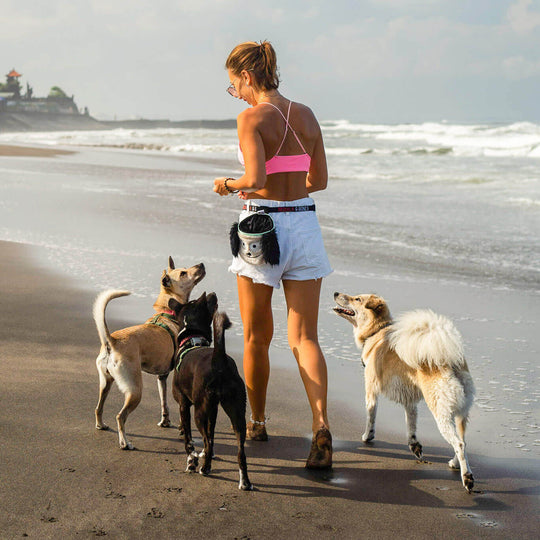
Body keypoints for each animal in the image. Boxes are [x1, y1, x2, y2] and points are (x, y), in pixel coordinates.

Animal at [93, 255, 205, 450]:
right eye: (183, 273)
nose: (202, 264)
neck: (167, 311)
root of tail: (111, 341)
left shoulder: (162, 377)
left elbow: (164, 402)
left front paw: (165, 422)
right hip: (135, 390)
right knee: (120, 416)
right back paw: (125, 443)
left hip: (106, 383)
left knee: (98, 408)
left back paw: (101, 425)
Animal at [169, 294, 253, 492]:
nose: (213, 293)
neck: (192, 340)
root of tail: (219, 361)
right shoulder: (213, 411)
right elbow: (212, 435)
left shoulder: (184, 405)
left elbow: (189, 440)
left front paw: (191, 462)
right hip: (237, 412)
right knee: (240, 452)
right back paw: (244, 482)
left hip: (199, 412)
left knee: (206, 442)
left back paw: (205, 468)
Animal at [334, 294, 476, 492]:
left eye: (357, 299)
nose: (335, 293)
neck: (377, 332)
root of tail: (449, 362)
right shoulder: (410, 402)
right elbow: (411, 425)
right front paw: (414, 446)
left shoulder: (371, 390)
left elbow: (371, 417)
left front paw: (367, 436)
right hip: (461, 413)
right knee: (462, 440)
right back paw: (455, 464)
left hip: (440, 412)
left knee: (459, 443)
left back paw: (467, 478)